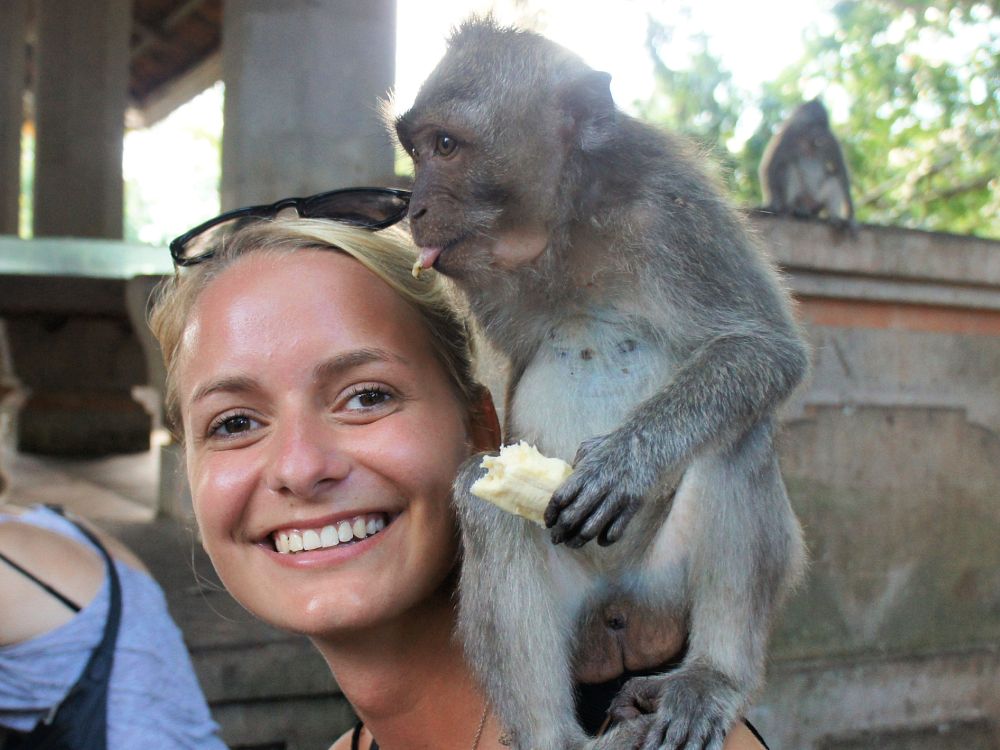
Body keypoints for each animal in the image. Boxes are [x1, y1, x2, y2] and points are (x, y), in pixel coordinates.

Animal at [394, 17, 808, 750]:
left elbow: (763, 348)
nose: (412, 208)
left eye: (446, 145)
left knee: (739, 436)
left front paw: (624, 461)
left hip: (665, 587)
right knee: (483, 499)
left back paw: (711, 678)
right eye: (415, 150)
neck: (563, 230)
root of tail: (619, 612)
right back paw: (557, 738)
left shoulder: (677, 208)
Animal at [760, 98, 856, 231]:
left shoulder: (831, 141)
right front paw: (773, 204)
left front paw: (851, 217)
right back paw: (792, 208)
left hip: (817, 202)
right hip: (800, 198)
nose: (821, 135)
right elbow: (771, 165)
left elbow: (841, 170)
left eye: (824, 125)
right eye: (818, 124)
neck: (807, 140)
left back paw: (834, 218)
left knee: (834, 177)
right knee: (789, 167)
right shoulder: (788, 134)